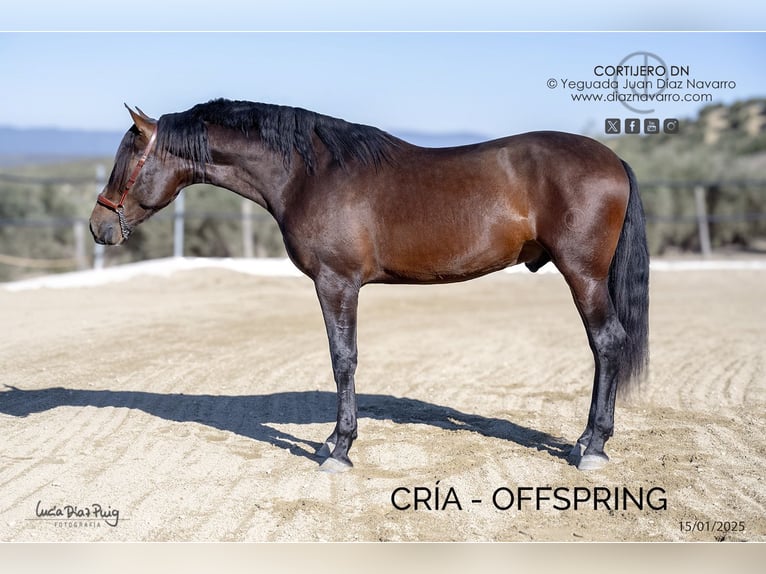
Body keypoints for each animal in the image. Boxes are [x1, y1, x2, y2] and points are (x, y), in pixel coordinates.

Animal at [89, 99, 649, 473]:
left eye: (128, 159)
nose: (99, 227)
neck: (310, 174)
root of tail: (614, 160)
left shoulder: (336, 284)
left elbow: (343, 359)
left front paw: (339, 447)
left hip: (583, 275)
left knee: (607, 343)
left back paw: (592, 446)